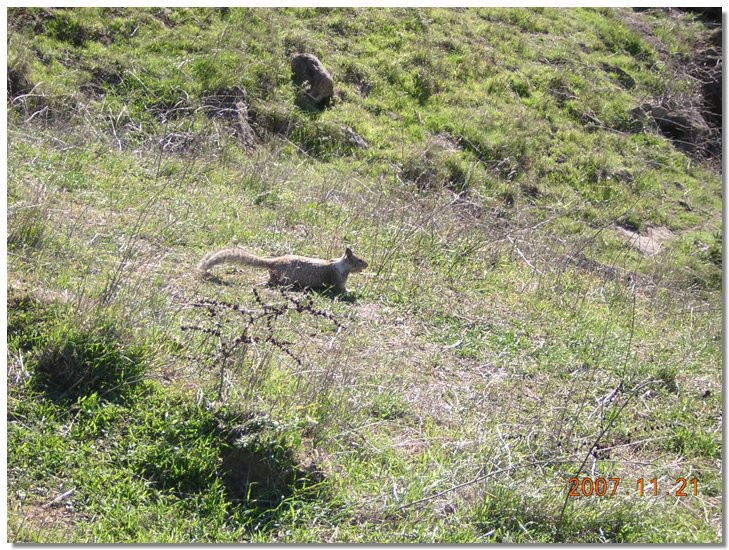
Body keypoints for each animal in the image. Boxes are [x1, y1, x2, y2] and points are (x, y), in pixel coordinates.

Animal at [198, 248, 366, 294]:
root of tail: (274, 262)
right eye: (359, 260)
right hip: (285, 277)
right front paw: (352, 291)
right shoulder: (339, 279)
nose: (367, 264)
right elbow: (341, 289)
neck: (340, 264)